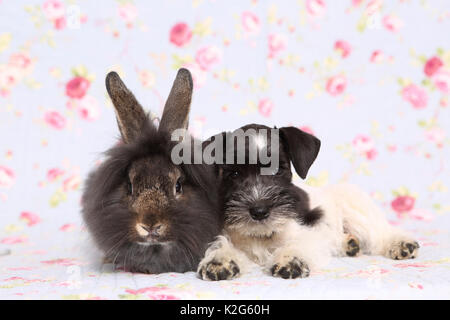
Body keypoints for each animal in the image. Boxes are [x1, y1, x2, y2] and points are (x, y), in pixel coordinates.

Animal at [199, 124, 420, 278]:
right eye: (234, 173)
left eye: (278, 169)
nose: (259, 211)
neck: (263, 235)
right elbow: (223, 244)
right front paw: (220, 260)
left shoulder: (310, 232)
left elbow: (299, 242)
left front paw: (290, 259)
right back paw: (348, 244)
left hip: (356, 208)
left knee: (380, 234)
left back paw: (402, 244)